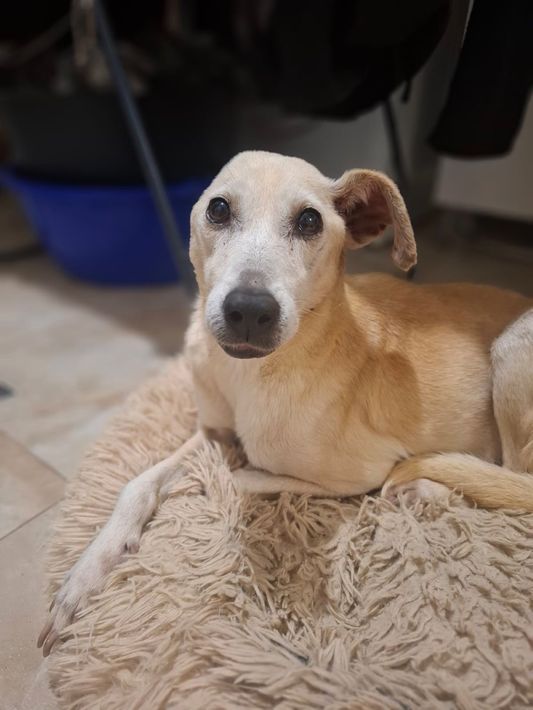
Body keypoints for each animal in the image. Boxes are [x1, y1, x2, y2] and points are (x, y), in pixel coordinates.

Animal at [39, 151, 533, 656]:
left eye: (310, 220)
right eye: (218, 209)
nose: (249, 311)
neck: (251, 375)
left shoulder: (362, 473)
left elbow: (240, 476)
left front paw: (216, 480)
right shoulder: (212, 430)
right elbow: (139, 483)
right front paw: (84, 577)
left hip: (511, 348)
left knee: (515, 479)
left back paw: (429, 489)